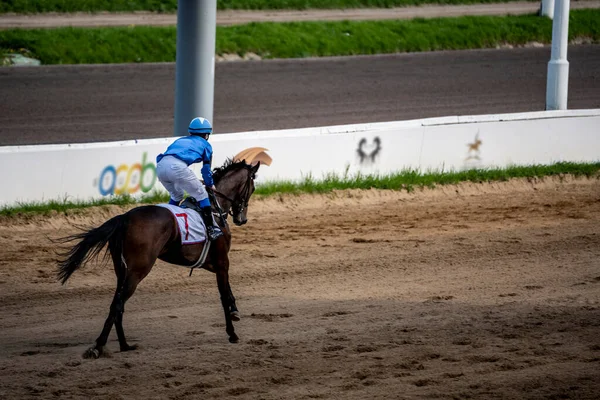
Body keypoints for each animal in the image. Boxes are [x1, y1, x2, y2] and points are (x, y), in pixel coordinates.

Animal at [56, 158, 260, 358]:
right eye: (252, 188)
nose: (242, 219)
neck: (215, 209)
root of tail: (125, 217)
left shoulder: (213, 263)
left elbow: (228, 291)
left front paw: (235, 312)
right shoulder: (222, 261)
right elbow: (223, 295)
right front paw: (232, 333)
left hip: (122, 270)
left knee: (117, 304)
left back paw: (124, 345)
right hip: (138, 269)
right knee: (118, 304)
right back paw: (99, 347)